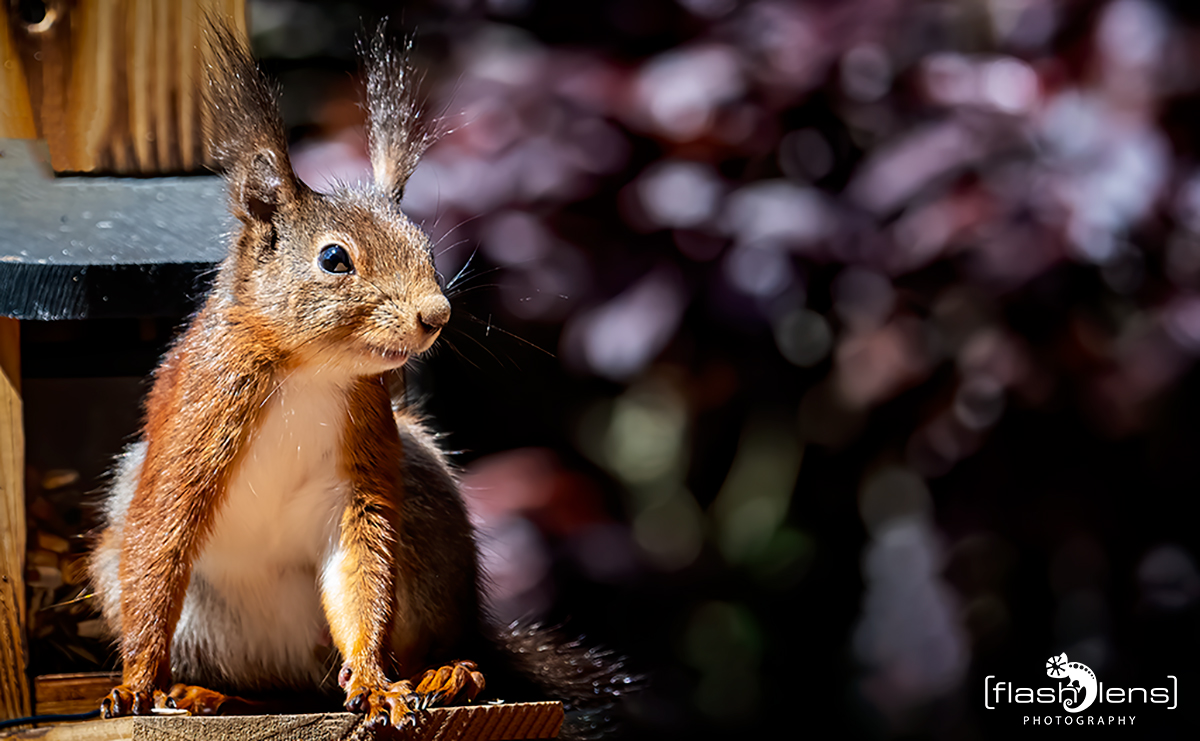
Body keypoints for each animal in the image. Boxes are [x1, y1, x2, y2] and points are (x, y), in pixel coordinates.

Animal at [88, 20, 633, 729]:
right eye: (333, 259)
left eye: (427, 249)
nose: (436, 313)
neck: (308, 371)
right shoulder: (194, 425)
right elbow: (159, 546)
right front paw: (134, 683)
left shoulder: (363, 457)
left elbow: (361, 565)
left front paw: (375, 684)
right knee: (275, 687)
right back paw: (205, 693)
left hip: (426, 522)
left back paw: (450, 672)